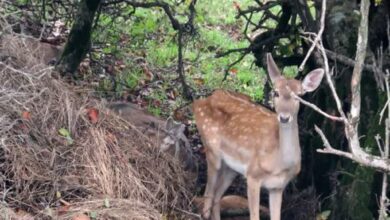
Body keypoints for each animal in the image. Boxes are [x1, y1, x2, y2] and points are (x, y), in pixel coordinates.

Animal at [193, 53, 324, 220]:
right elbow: (254, 216)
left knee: (216, 195)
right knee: (208, 194)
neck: (279, 163)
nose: (284, 117)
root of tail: (199, 102)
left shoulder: (277, 187)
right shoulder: (253, 175)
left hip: (231, 168)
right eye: (276, 92)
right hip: (211, 149)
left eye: (299, 96)